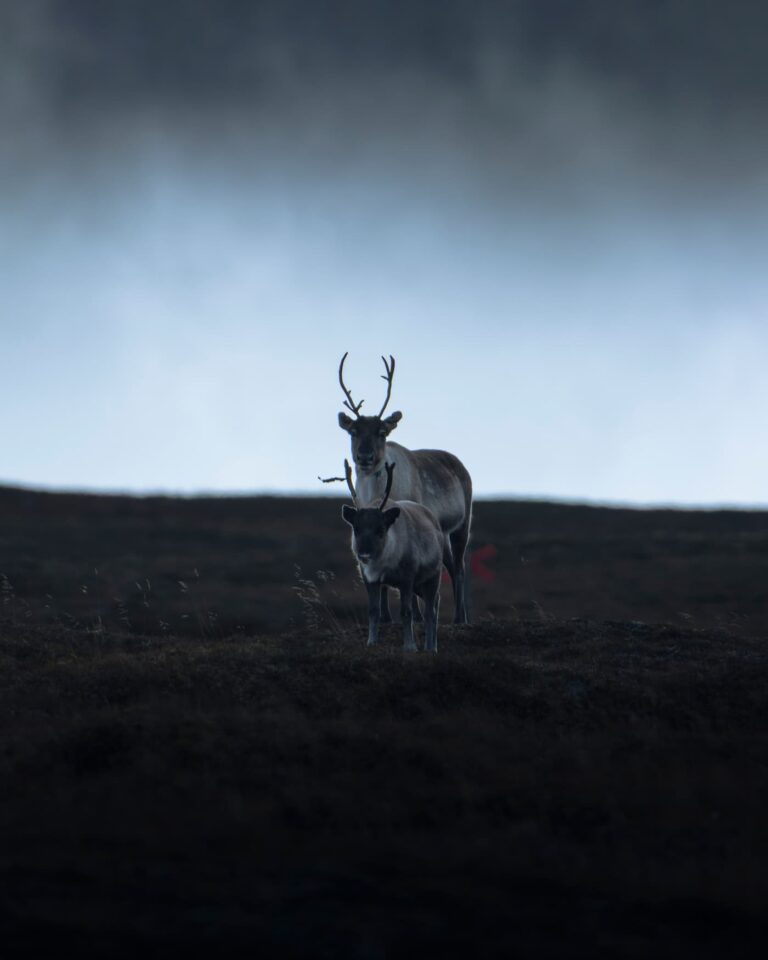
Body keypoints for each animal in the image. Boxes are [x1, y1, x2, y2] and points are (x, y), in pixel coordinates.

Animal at [336, 352, 473, 624]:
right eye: (353, 431)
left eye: (382, 432)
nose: (365, 457)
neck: (375, 492)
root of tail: (459, 463)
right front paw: (386, 617)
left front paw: (415, 616)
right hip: (443, 534)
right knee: (451, 566)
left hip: (462, 524)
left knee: (460, 567)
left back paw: (460, 617)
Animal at [341, 460, 444, 652]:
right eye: (356, 529)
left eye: (380, 529)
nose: (364, 555)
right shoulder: (370, 579)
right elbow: (374, 611)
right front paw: (371, 641)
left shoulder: (407, 578)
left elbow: (406, 612)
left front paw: (410, 646)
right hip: (419, 584)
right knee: (435, 601)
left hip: (433, 576)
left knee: (430, 610)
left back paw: (431, 648)